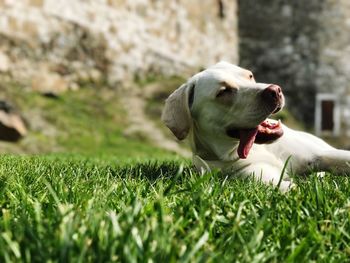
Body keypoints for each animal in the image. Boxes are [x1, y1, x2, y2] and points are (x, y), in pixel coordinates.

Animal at [161, 62, 350, 192]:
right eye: (223, 91)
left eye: (250, 76)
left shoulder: (319, 154)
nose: (275, 90)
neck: (257, 148)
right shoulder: (259, 176)